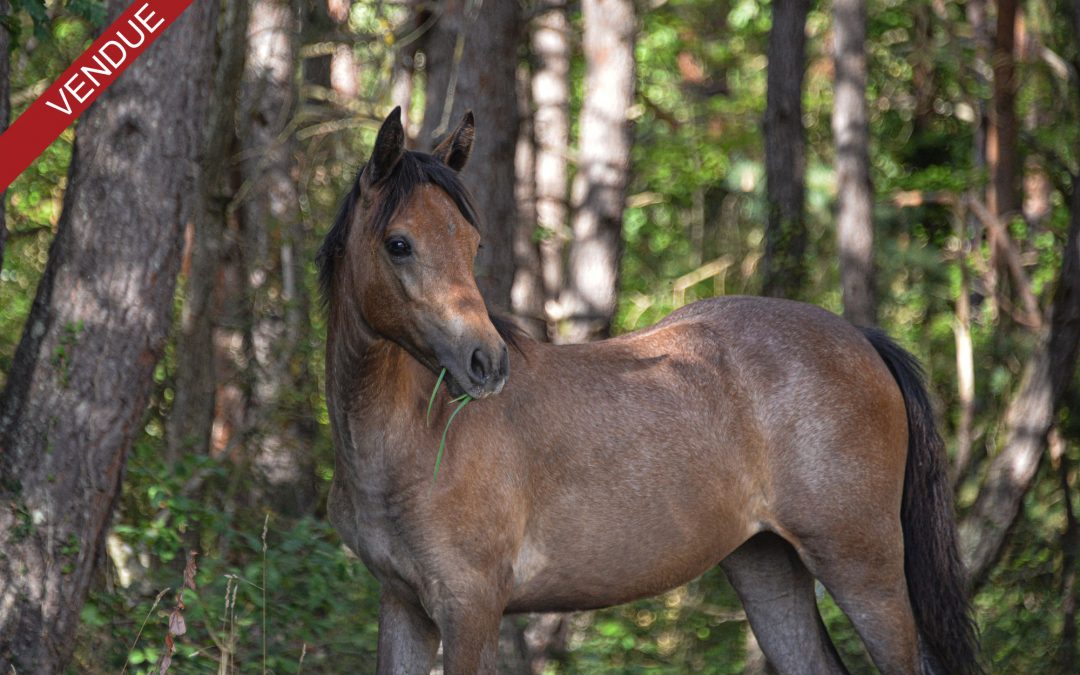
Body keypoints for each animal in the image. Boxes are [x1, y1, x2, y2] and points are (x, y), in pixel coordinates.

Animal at [315, 106, 980, 673]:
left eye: (472, 244)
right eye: (399, 244)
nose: (487, 363)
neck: (409, 445)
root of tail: (861, 338)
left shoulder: (471, 610)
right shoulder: (404, 608)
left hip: (864, 568)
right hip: (768, 568)